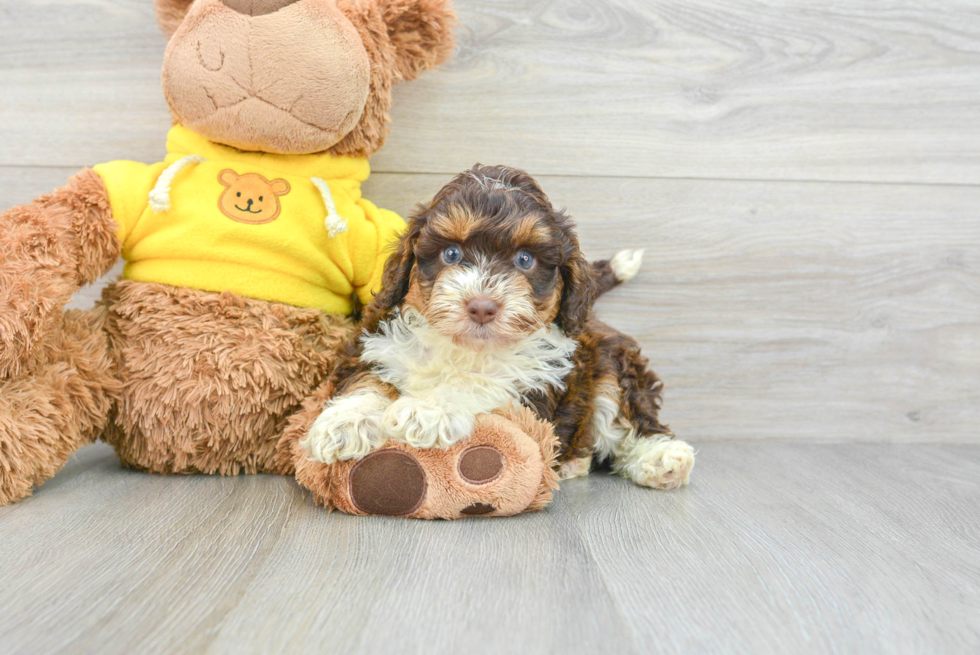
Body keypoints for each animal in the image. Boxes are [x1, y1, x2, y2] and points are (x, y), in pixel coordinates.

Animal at [302, 164, 692, 492]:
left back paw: (662, 458)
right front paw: (344, 423)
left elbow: (481, 383)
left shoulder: (536, 386)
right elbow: (367, 378)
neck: (463, 347)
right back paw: (574, 463)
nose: (482, 307)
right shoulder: (377, 342)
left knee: (629, 414)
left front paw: (428, 409)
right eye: (451, 254)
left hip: (612, 364)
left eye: (525, 260)